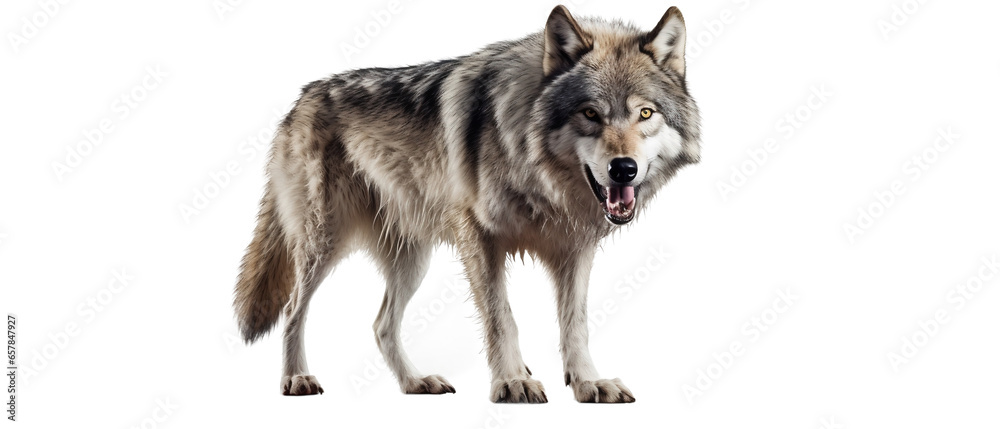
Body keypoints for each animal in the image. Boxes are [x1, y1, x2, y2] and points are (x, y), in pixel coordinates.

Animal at [234, 5, 700, 403]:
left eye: (645, 114)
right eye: (590, 113)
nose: (624, 169)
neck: (540, 178)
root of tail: (300, 99)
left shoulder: (574, 250)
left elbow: (576, 325)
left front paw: (588, 383)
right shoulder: (479, 238)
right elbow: (501, 317)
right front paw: (512, 382)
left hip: (412, 260)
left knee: (381, 325)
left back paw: (415, 382)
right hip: (323, 243)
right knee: (294, 309)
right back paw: (297, 378)